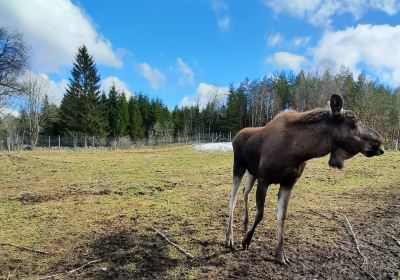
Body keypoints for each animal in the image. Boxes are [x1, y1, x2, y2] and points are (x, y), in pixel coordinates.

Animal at [225, 93, 384, 264]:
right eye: (353, 119)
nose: (380, 143)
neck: (299, 151)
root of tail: (235, 137)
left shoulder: (288, 182)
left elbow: (282, 216)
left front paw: (280, 255)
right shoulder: (264, 179)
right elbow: (260, 214)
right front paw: (246, 241)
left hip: (251, 173)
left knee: (245, 192)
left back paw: (244, 226)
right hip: (238, 167)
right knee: (232, 199)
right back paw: (230, 239)